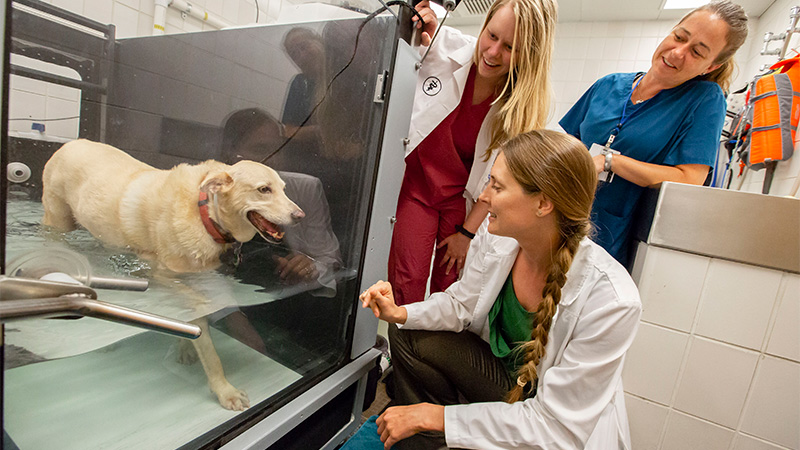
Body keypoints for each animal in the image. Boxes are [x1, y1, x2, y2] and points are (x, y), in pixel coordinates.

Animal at [43, 139, 306, 410]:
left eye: (284, 189)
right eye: (264, 189)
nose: (300, 216)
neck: (205, 215)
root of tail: (72, 142)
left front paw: (185, 348)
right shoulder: (168, 278)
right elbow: (206, 343)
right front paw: (225, 391)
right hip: (58, 221)